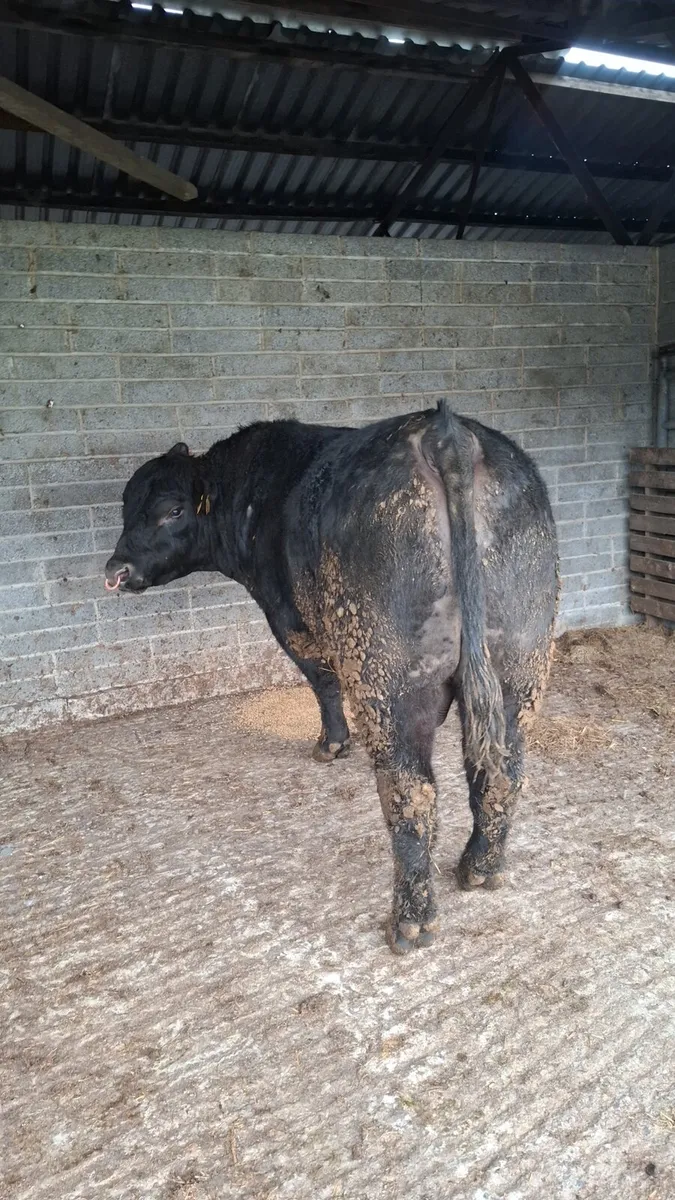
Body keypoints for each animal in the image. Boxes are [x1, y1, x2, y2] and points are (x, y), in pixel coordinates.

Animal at [105, 402, 558, 954]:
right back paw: (480, 867)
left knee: (410, 791)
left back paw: (411, 920)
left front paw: (331, 743)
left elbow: (321, 681)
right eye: (127, 504)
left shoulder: (290, 621)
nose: (116, 570)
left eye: (172, 511)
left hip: (388, 682)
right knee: (501, 772)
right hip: (518, 670)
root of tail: (445, 431)